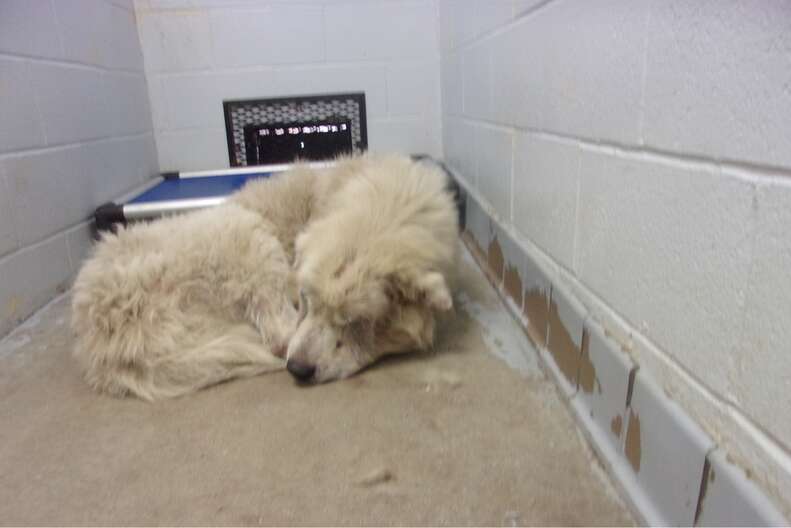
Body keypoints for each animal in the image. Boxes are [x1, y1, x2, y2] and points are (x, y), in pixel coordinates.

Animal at [72, 154, 460, 400]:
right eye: (306, 301)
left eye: (352, 322)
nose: (298, 370)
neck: (391, 201)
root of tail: (102, 329)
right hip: (244, 228)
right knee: (277, 334)